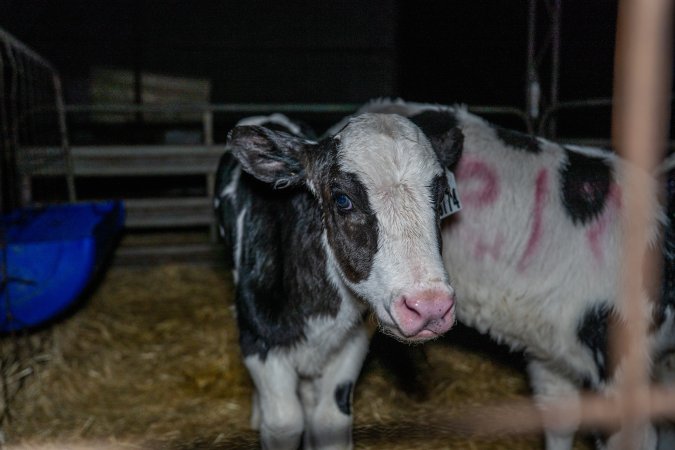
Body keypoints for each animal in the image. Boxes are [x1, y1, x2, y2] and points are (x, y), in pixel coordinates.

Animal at [214, 112, 464, 450]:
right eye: (343, 200)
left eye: (440, 196)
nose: (429, 306)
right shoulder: (257, 337)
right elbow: (283, 422)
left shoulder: (353, 339)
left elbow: (330, 420)